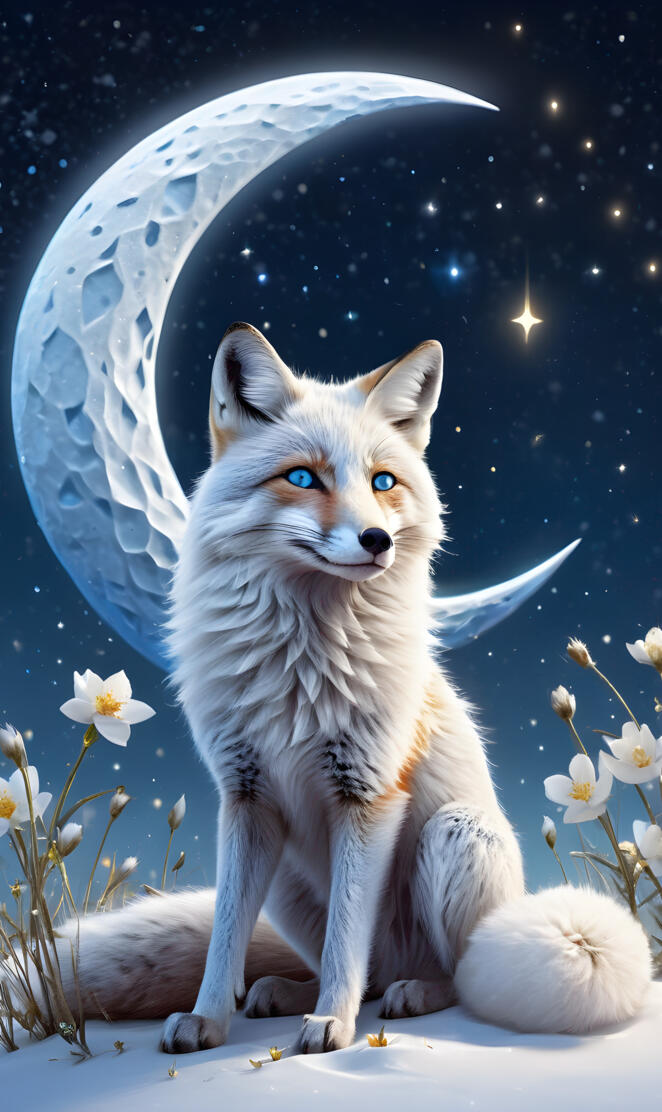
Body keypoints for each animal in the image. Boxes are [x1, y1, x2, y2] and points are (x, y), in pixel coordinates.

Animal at [51, 322, 650, 1051]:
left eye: (383, 481)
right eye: (302, 477)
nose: (377, 539)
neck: (300, 668)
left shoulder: (368, 794)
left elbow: (346, 935)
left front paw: (332, 1026)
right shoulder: (245, 799)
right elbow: (227, 934)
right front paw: (208, 1018)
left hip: (455, 833)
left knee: (452, 976)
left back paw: (409, 995)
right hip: (286, 875)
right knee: (358, 969)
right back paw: (289, 994)